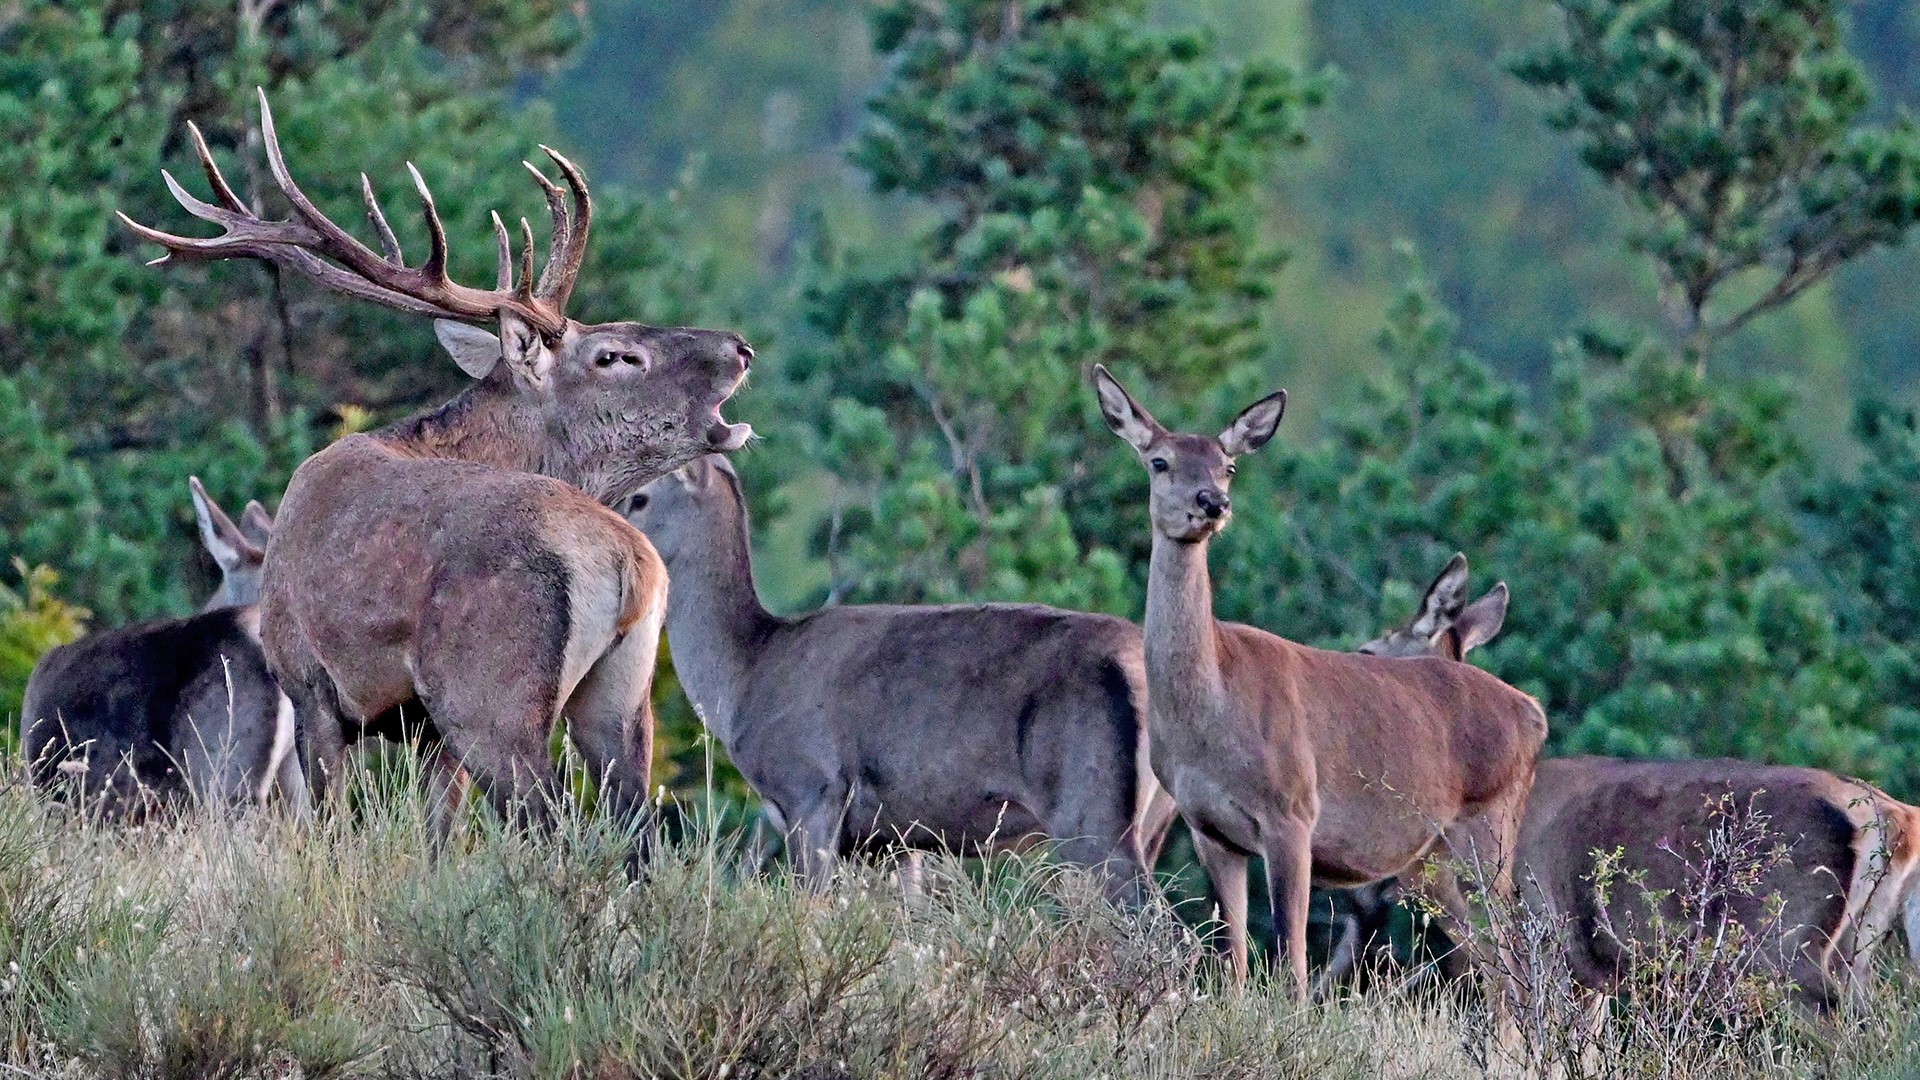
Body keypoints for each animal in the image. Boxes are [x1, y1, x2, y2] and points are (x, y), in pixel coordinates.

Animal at [116, 94, 752, 814]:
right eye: (614, 355)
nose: (739, 348)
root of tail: (625, 562)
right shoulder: (411, 727)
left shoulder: (311, 684)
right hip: (616, 700)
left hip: (488, 698)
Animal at [633, 453, 1167, 899]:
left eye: (640, 497)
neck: (748, 673)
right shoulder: (892, 839)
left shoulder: (813, 786)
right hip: (1153, 819)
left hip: (1090, 809)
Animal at [1090, 363, 1551, 991]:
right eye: (1159, 461)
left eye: (1229, 465)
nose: (1213, 502)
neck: (1210, 713)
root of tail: (1536, 713)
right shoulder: (1208, 829)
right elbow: (1235, 960)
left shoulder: (1294, 812)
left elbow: (1291, 961)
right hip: (1432, 860)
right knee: (1489, 958)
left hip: (1488, 829)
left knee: (1515, 958)